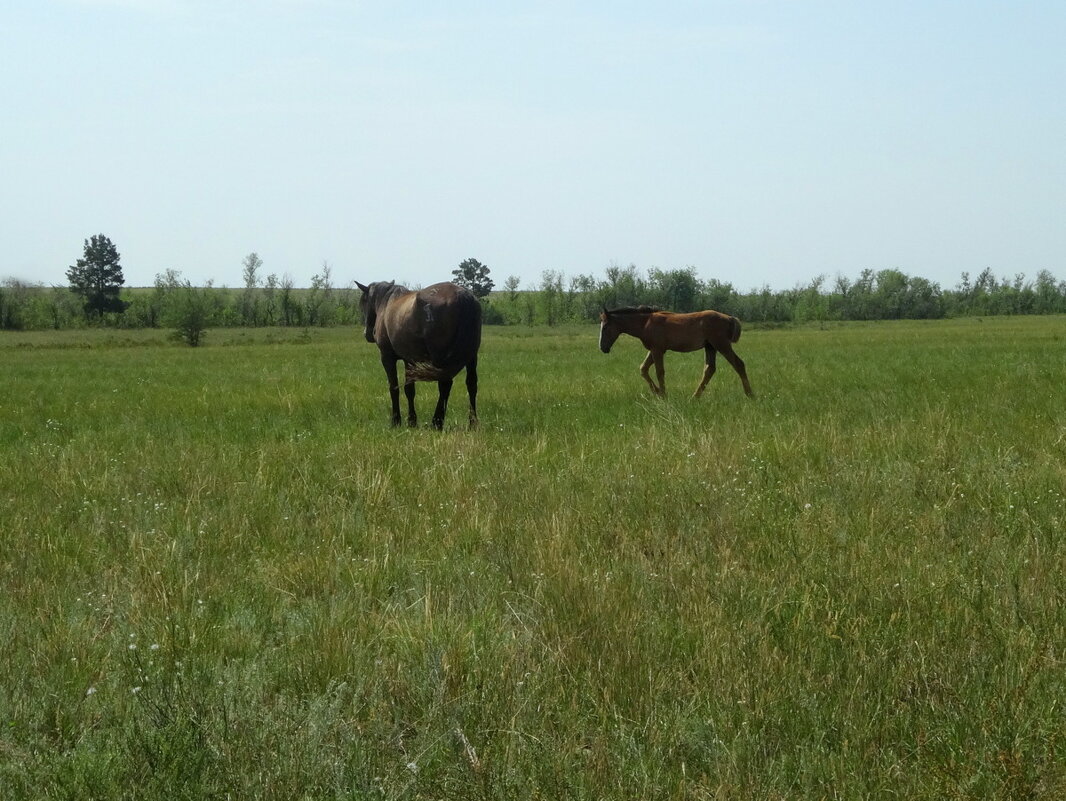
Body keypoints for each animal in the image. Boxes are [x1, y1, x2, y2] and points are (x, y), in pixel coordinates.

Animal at [356, 281, 481, 433]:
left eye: (363, 302)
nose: (368, 333)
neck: (387, 303)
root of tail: (462, 295)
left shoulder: (387, 357)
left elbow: (394, 388)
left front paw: (396, 421)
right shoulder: (408, 360)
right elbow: (409, 390)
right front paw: (412, 421)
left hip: (441, 358)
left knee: (445, 385)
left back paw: (437, 422)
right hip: (471, 356)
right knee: (471, 384)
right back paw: (472, 422)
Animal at [601, 302, 750, 398]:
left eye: (606, 326)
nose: (602, 348)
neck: (646, 323)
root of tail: (729, 318)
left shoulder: (657, 350)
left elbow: (659, 372)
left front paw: (663, 395)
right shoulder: (654, 350)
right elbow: (643, 369)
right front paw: (657, 392)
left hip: (721, 345)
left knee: (739, 364)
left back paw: (750, 394)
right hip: (710, 347)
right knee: (709, 369)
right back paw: (694, 397)